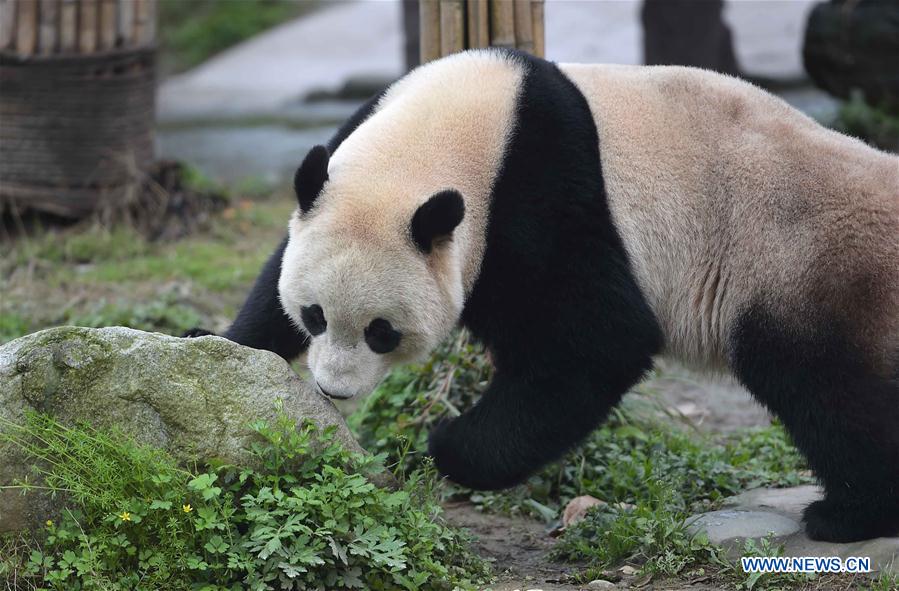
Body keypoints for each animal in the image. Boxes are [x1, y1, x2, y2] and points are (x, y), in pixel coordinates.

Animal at [186, 49, 899, 543]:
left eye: (381, 331)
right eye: (313, 315)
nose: (332, 390)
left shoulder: (543, 193)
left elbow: (598, 341)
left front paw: (445, 446)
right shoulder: (348, 152)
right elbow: (274, 274)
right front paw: (214, 346)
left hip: (798, 265)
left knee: (826, 389)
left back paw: (847, 513)